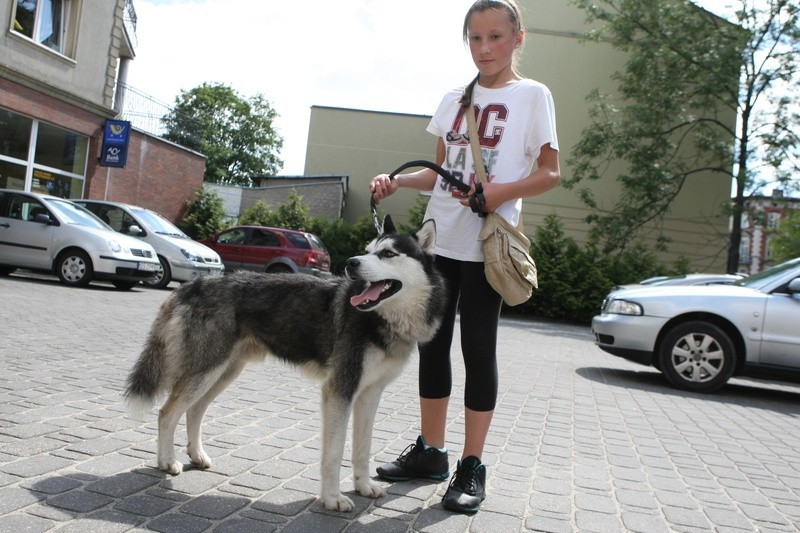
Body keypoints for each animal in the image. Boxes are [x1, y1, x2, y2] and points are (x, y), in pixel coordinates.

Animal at [125, 216, 444, 512]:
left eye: (388, 254)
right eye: (367, 251)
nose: (351, 263)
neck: (383, 319)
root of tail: (193, 284)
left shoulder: (369, 395)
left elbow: (362, 450)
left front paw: (364, 487)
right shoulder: (339, 391)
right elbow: (335, 453)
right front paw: (332, 499)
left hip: (223, 373)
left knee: (193, 410)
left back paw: (197, 455)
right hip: (206, 371)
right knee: (167, 412)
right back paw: (167, 461)